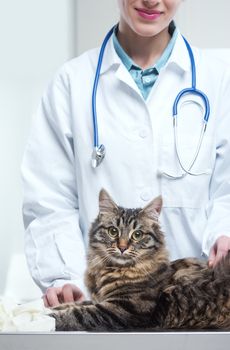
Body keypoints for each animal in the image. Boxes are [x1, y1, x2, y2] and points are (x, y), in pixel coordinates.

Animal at [50, 189, 230, 330]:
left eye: (137, 235)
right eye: (113, 231)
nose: (122, 247)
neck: (108, 270)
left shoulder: (120, 309)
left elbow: (75, 314)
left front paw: (49, 316)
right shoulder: (99, 301)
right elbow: (75, 304)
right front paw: (52, 307)